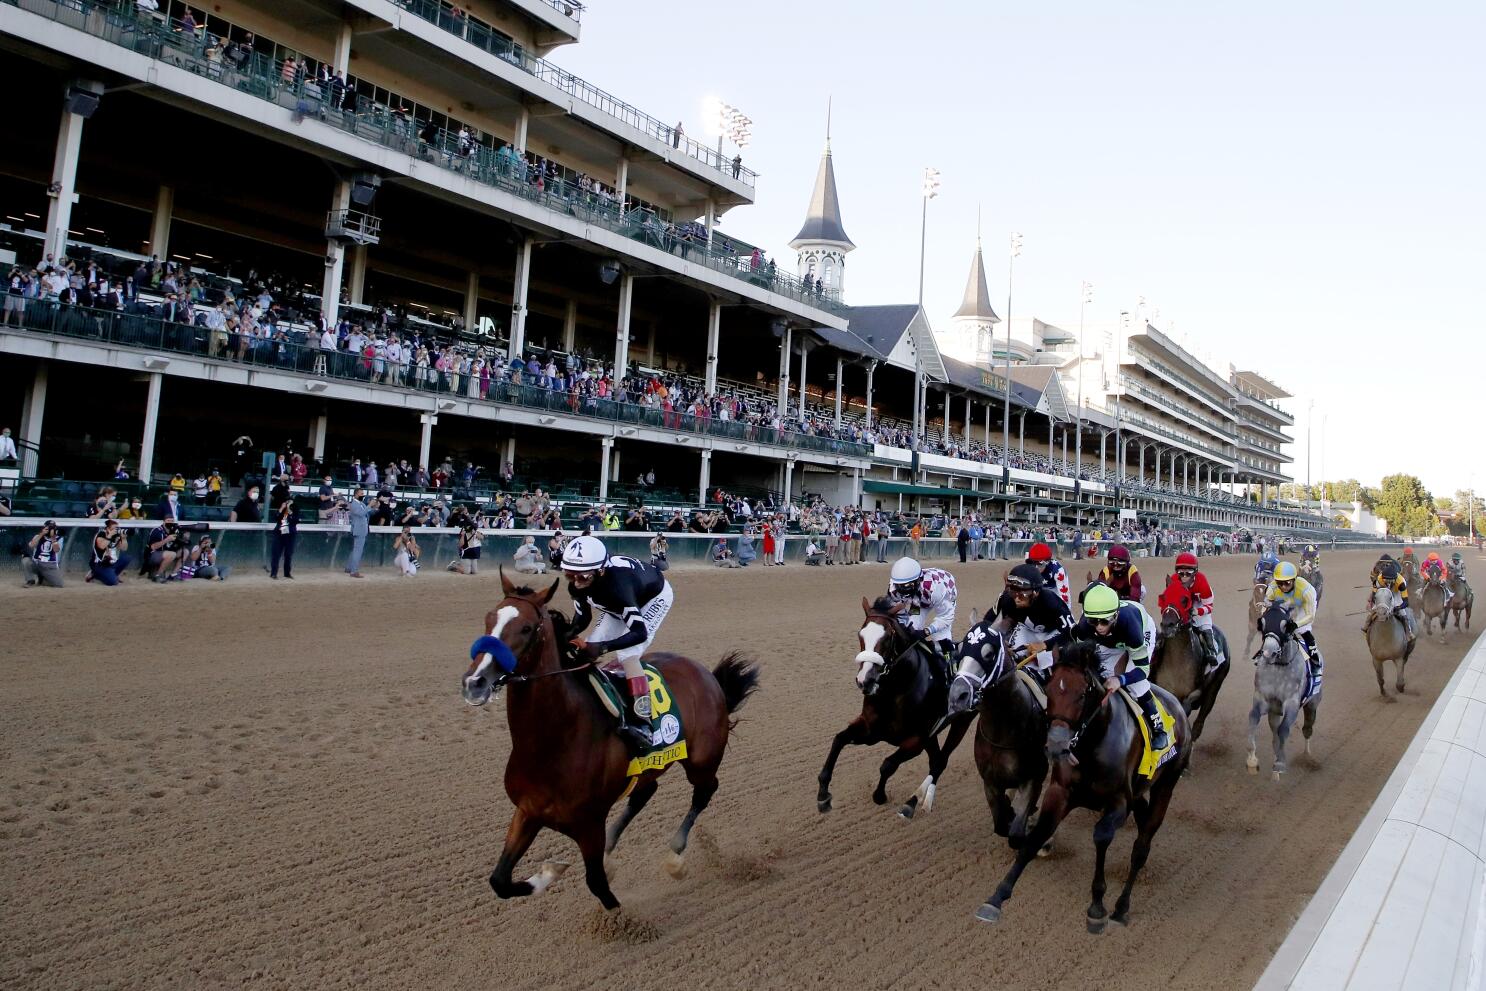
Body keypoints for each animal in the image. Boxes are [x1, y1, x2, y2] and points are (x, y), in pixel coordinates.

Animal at [460, 573, 766, 909]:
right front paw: (549, 873)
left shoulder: (589, 824)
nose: (475, 682)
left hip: (702, 760)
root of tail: (709, 677)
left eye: (526, 628)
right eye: (489, 618)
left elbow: (598, 884)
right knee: (645, 793)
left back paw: (675, 856)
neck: (552, 743)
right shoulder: (529, 811)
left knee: (704, 791)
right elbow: (499, 881)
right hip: (648, 766)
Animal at [814, 597, 974, 820]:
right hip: (933, 735)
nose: (865, 680)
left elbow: (888, 764)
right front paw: (823, 794)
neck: (896, 690)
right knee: (936, 759)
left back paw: (914, 803)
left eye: (888, 637)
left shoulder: (916, 739)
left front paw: (879, 796)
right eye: (860, 634)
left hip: (962, 721)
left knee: (940, 761)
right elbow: (839, 739)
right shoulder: (872, 730)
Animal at [974, 644, 1194, 933]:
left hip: (1166, 785)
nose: (1056, 745)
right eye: (1050, 689)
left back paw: (1121, 908)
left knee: (1141, 848)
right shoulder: (1060, 792)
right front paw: (996, 899)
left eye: (1081, 695)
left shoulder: (1118, 803)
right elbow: (1035, 837)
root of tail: (1178, 706)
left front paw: (1097, 908)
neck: (1093, 743)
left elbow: (1101, 837)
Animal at [1147, 576, 1230, 748]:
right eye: (1163, 597)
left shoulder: (1196, 690)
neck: (1177, 662)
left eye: (1184, 600)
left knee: (1202, 714)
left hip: (1216, 684)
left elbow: (1187, 706)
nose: (1168, 625)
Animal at [1248, 600, 1319, 778]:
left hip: (1312, 704)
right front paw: (1252, 761)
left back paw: (1307, 756)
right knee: (1274, 732)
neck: (1279, 667)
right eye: (1262, 623)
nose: (1268, 652)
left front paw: (1279, 764)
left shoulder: (1292, 703)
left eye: (1285, 625)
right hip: (1274, 712)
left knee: (1307, 729)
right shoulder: (1262, 699)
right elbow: (1253, 720)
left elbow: (1284, 730)